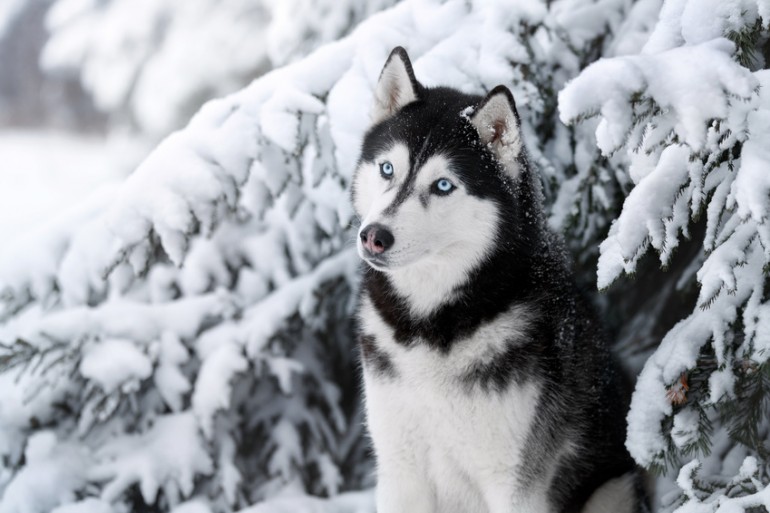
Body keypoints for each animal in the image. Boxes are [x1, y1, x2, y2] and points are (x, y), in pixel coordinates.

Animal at [352, 46, 644, 510]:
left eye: (443, 185)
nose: (374, 237)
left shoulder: (515, 482)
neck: (432, 324)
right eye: (386, 169)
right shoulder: (400, 471)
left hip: (611, 487)